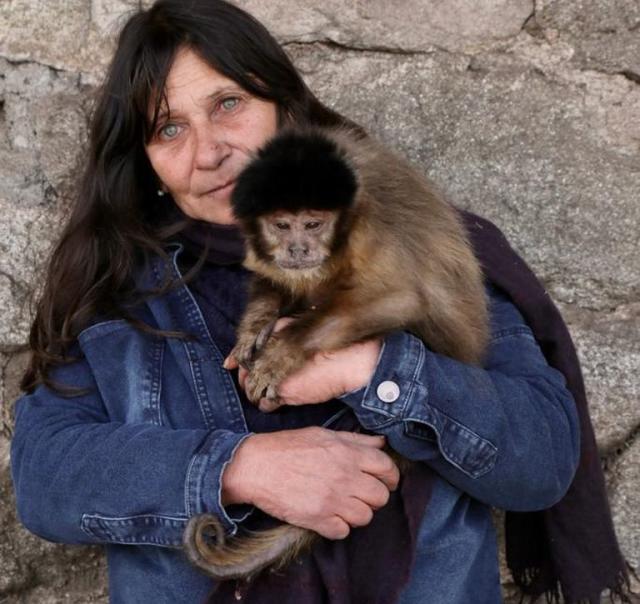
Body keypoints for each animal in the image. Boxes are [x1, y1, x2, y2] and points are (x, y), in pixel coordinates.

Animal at [184, 126, 490, 580]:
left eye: (313, 224)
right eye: (282, 225)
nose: (297, 248)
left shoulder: (368, 227)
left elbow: (402, 298)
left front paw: (281, 352)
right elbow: (273, 280)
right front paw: (256, 328)